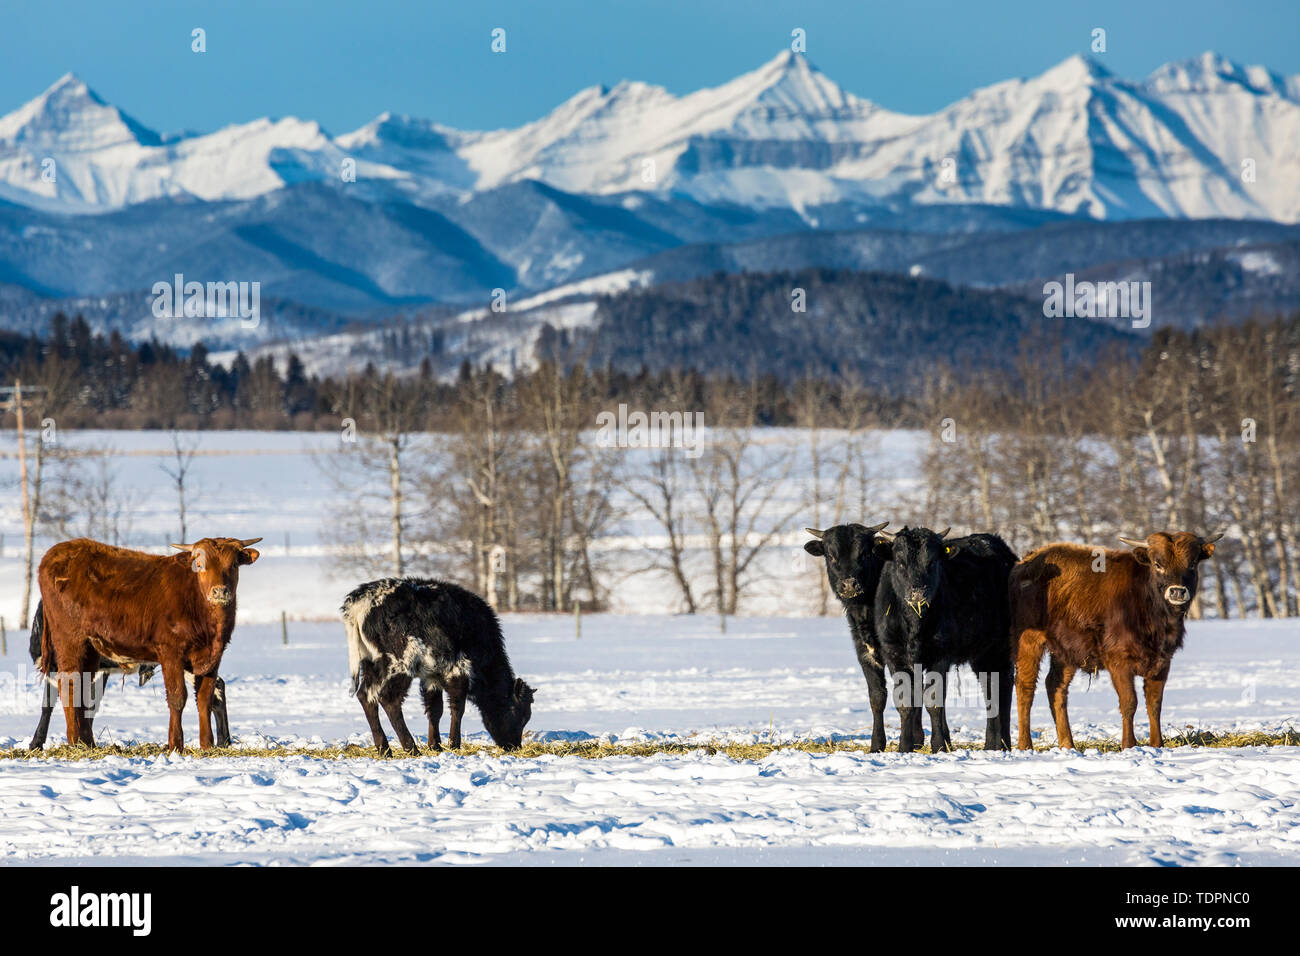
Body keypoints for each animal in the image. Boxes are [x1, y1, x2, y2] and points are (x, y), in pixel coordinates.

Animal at [36, 535, 260, 749]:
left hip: (90, 649)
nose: (220, 591)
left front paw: (207, 745)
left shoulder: (212, 658)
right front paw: (176, 744)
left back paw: (87, 742)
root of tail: (53, 555)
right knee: (69, 683)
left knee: (82, 687)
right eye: (199, 564)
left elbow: (205, 698)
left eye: (233, 564)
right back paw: (75, 741)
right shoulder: (171, 653)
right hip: (70, 640)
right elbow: (177, 698)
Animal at [343, 574, 535, 754]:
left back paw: (385, 749)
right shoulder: (459, 671)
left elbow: (435, 709)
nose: (514, 746)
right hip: (399, 666)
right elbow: (457, 708)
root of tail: (359, 602)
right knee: (389, 699)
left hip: (370, 664)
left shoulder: (431, 676)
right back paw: (411, 748)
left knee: (366, 696)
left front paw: (435, 745)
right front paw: (454, 744)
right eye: (518, 712)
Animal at [800, 522, 904, 754]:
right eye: (831, 555)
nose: (849, 585)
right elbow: (877, 697)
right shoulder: (865, 653)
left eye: (864, 553)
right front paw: (876, 745)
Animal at [873, 528, 1013, 749]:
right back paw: (994, 744)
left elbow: (934, 700)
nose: (918, 591)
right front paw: (904, 747)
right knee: (991, 687)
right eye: (901, 562)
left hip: (999, 648)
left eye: (932, 562)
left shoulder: (940, 654)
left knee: (1002, 689)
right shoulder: (894, 654)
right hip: (981, 653)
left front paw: (939, 746)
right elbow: (905, 702)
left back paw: (999, 744)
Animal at [1013, 535, 1216, 749]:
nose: (1177, 592)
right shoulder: (1119, 663)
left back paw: (1068, 744)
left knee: (1056, 687)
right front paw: (1129, 744)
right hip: (1029, 643)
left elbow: (1154, 704)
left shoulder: (1162, 663)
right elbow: (1129, 703)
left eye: (1192, 564)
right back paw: (1025, 745)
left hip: (1066, 653)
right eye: (1158, 564)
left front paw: (1157, 744)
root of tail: (1025, 562)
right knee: (1025, 687)